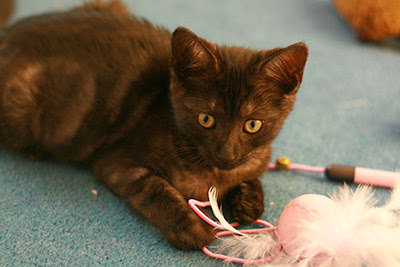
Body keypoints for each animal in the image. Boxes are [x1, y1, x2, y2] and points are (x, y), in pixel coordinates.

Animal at [0, 0, 310, 251]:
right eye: (206, 119)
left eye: (253, 124)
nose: (226, 153)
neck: (214, 174)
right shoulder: (117, 162)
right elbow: (154, 189)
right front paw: (190, 228)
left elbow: (252, 175)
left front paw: (249, 200)